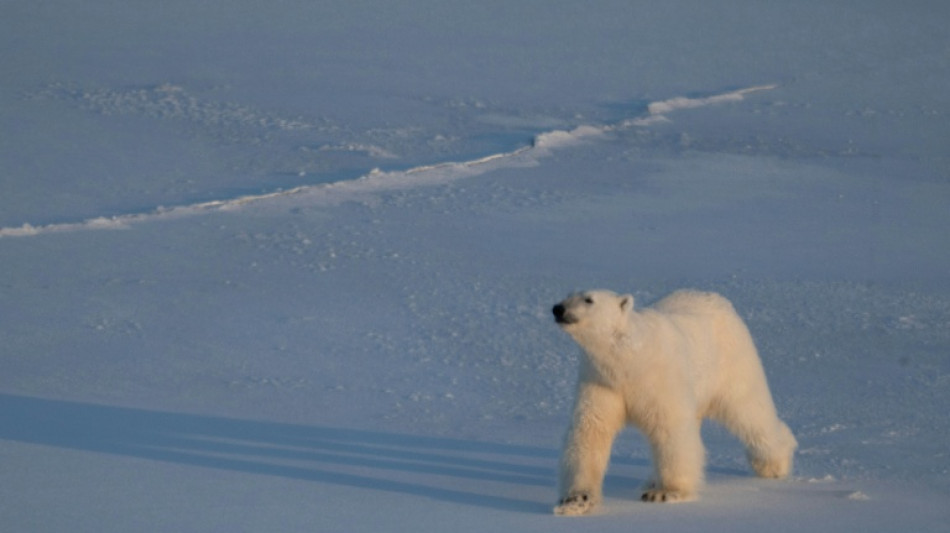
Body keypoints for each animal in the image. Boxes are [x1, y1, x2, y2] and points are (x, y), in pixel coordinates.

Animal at [551, 289, 796, 516]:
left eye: (589, 299)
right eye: (568, 294)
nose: (558, 309)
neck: (629, 362)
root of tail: (715, 297)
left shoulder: (660, 377)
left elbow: (670, 429)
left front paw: (664, 493)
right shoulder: (601, 382)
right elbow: (590, 430)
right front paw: (576, 500)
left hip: (732, 359)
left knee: (749, 409)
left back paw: (775, 464)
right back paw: (650, 480)